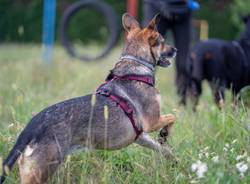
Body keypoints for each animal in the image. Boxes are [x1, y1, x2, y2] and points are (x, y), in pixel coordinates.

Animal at [0, 13, 177, 184]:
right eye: (162, 41)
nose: (175, 49)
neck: (135, 71)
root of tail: (31, 128)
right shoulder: (151, 122)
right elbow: (172, 116)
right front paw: (164, 133)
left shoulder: (140, 136)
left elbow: (161, 147)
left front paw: (171, 156)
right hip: (41, 172)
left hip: (30, 171)